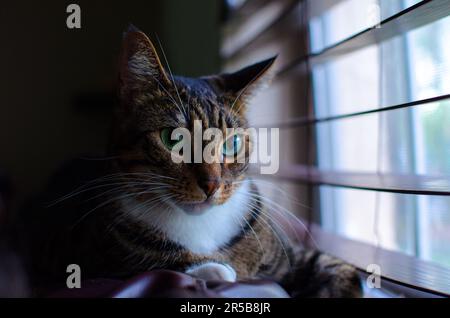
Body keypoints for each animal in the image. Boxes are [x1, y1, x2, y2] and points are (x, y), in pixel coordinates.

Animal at [20, 25, 362, 298]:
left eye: (233, 143)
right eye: (172, 139)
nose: (211, 184)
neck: (201, 226)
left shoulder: (289, 253)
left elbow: (336, 265)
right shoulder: (80, 249)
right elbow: (149, 258)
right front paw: (215, 269)